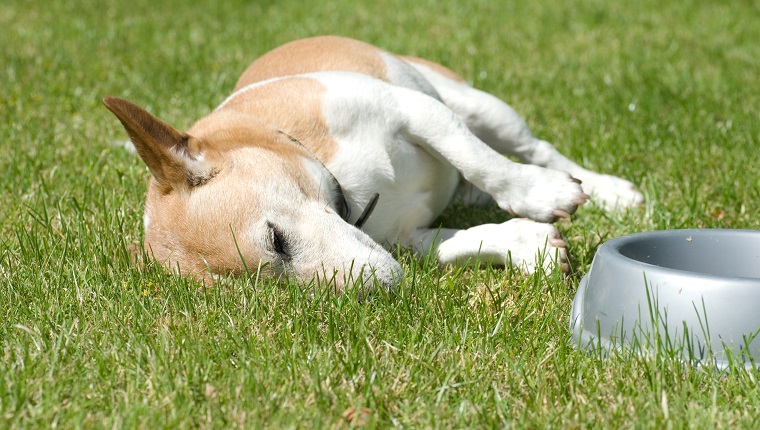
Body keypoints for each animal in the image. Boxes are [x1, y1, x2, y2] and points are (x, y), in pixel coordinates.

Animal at [104, 36, 640, 292]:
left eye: (276, 240)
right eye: (271, 291)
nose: (374, 292)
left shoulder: (413, 110)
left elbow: (481, 160)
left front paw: (542, 196)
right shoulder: (404, 237)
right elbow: (456, 243)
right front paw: (530, 247)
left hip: (479, 107)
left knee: (534, 149)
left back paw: (607, 191)